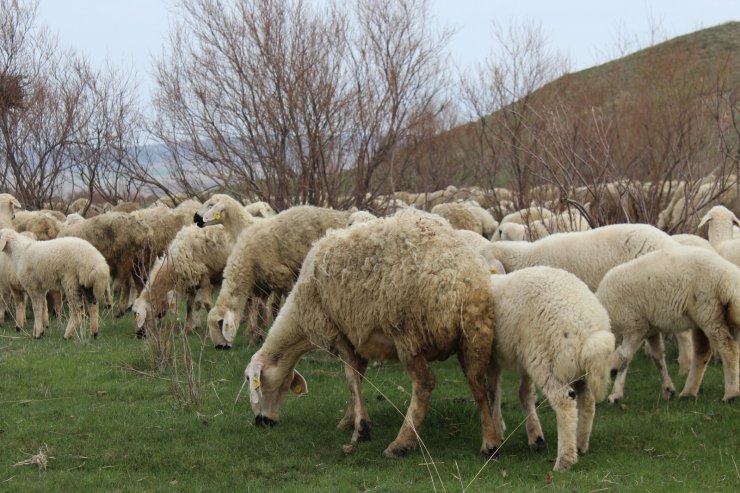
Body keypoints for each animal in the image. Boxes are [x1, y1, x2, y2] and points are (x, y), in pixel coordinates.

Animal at [205, 206, 352, 348]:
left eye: (220, 324)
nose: (220, 347)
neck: (246, 262)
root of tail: (344, 214)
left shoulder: (283, 277)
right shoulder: (262, 286)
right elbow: (260, 311)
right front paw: (256, 338)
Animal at [244, 209, 502, 458]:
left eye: (250, 380)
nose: (261, 422)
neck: (298, 319)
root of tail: (461, 283)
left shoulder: (336, 329)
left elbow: (351, 376)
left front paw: (361, 429)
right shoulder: (358, 334)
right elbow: (358, 376)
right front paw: (349, 420)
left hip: (408, 333)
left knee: (425, 383)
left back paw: (401, 443)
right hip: (475, 333)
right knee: (478, 383)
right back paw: (490, 443)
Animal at [488, 266, 616, 468]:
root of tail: (588, 329)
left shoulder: (491, 357)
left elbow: (493, 394)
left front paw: (497, 431)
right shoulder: (523, 360)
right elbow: (524, 393)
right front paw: (534, 436)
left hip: (546, 362)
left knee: (564, 402)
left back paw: (565, 460)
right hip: (574, 368)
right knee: (587, 400)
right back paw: (580, 444)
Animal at [600, 246, 740, 404]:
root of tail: (730, 280)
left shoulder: (634, 327)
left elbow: (624, 358)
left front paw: (615, 394)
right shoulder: (651, 329)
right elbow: (658, 357)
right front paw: (668, 389)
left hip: (710, 312)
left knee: (729, 350)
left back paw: (731, 394)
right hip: (704, 316)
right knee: (702, 351)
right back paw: (688, 392)